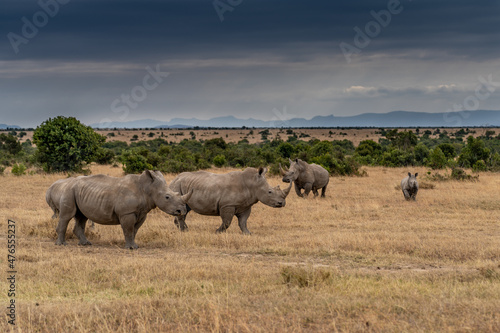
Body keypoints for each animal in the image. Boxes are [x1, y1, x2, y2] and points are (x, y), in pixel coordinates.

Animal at [50, 170, 191, 248]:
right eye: (167, 197)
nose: (181, 211)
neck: (147, 188)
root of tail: (66, 182)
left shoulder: (142, 213)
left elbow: (134, 230)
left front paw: (135, 246)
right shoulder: (127, 213)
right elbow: (128, 229)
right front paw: (130, 248)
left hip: (78, 192)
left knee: (81, 216)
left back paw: (85, 244)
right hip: (69, 190)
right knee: (67, 216)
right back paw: (62, 245)